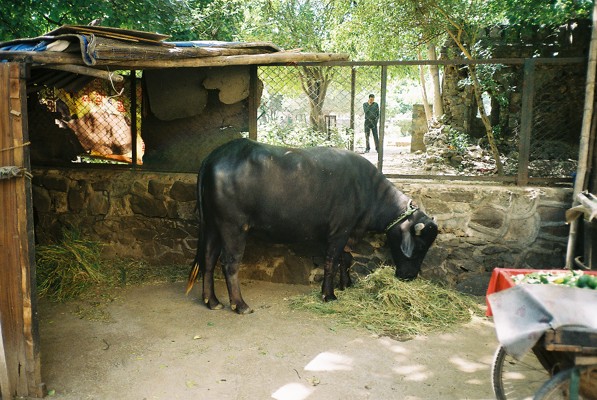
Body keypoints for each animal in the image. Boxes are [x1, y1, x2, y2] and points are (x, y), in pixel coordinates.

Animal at [186, 139, 438, 314]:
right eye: (420, 246)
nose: (409, 276)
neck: (368, 191)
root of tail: (213, 157)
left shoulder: (344, 233)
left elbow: (345, 258)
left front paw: (346, 284)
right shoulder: (340, 231)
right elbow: (331, 261)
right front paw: (329, 294)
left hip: (212, 225)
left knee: (208, 259)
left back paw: (212, 301)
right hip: (233, 226)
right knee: (229, 263)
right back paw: (240, 304)